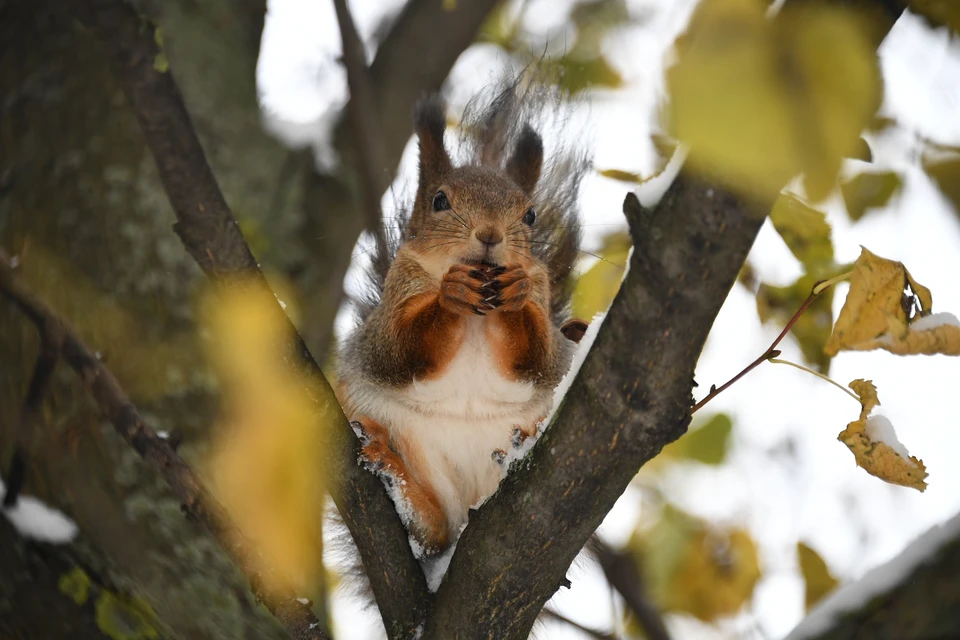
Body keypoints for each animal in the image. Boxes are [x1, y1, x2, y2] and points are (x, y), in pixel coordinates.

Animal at [338, 81, 592, 556]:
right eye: (439, 201)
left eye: (530, 215)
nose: (490, 234)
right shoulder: (394, 307)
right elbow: (401, 349)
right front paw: (450, 294)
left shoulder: (543, 313)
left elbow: (536, 357)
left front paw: (515, 297)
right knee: (433, 532)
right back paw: (397, 478)